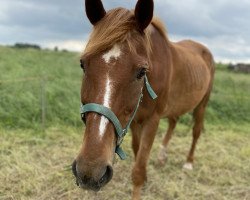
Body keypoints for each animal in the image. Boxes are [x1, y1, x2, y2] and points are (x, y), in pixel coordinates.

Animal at [72, 0, 215, 199]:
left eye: (142, 71)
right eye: (83, 64)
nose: (90, 172)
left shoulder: (152, 121)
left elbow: (138, 168)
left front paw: (142, 179)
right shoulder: (132, 120)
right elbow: (137, 150)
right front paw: (147, 177)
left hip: (202, 104)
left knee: (196, 131)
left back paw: (188, 162)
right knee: (173, 122)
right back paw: (162, 157)